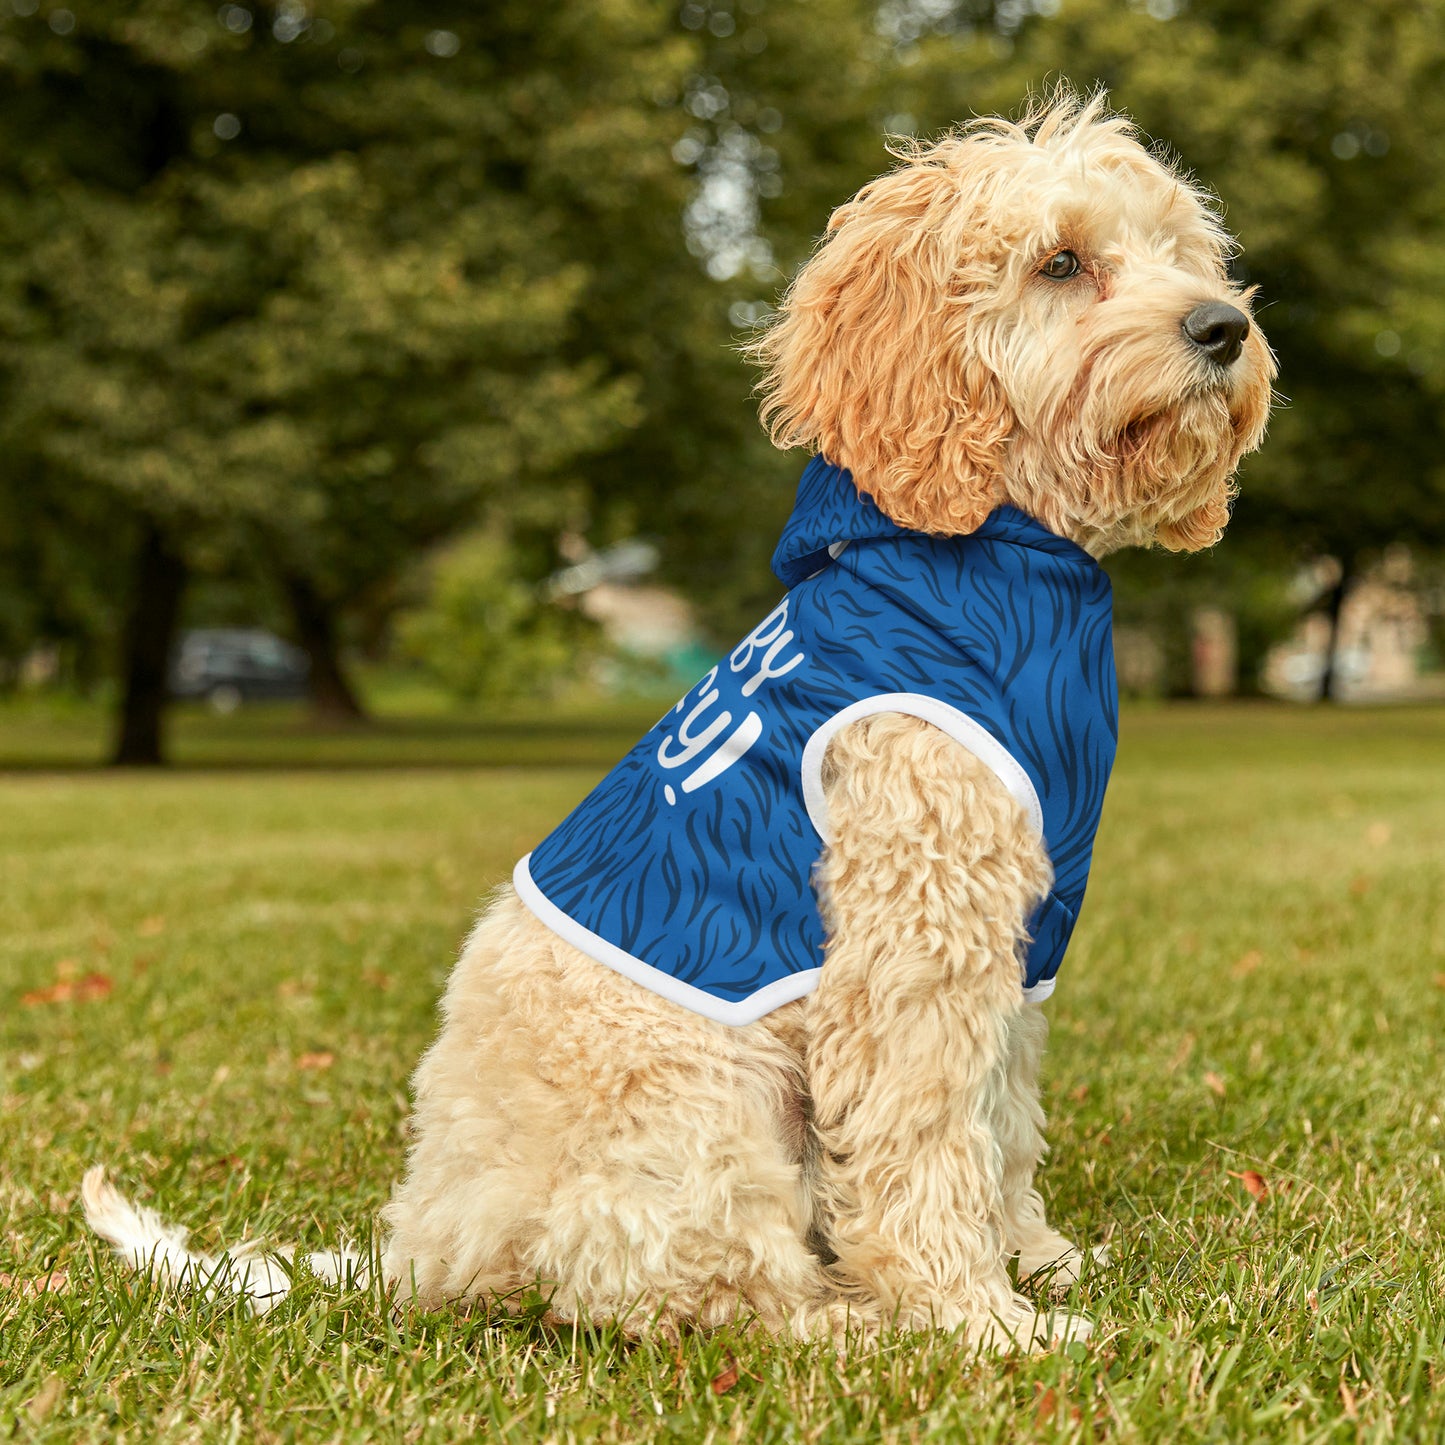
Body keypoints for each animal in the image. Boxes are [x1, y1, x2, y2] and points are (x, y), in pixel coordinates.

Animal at [84, 93, 1271, 1352]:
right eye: (1059, 262)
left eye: (1180, 252)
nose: (1222, 327)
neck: (986, 558)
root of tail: (424, 1246)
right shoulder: (913, 937)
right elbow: (924, 1138)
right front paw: (976, 1318)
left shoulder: (1016, 939)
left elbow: (999, 1120)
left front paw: (1034, 1259)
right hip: (704, 1102)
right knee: (699, 1290)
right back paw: (852, 1322)